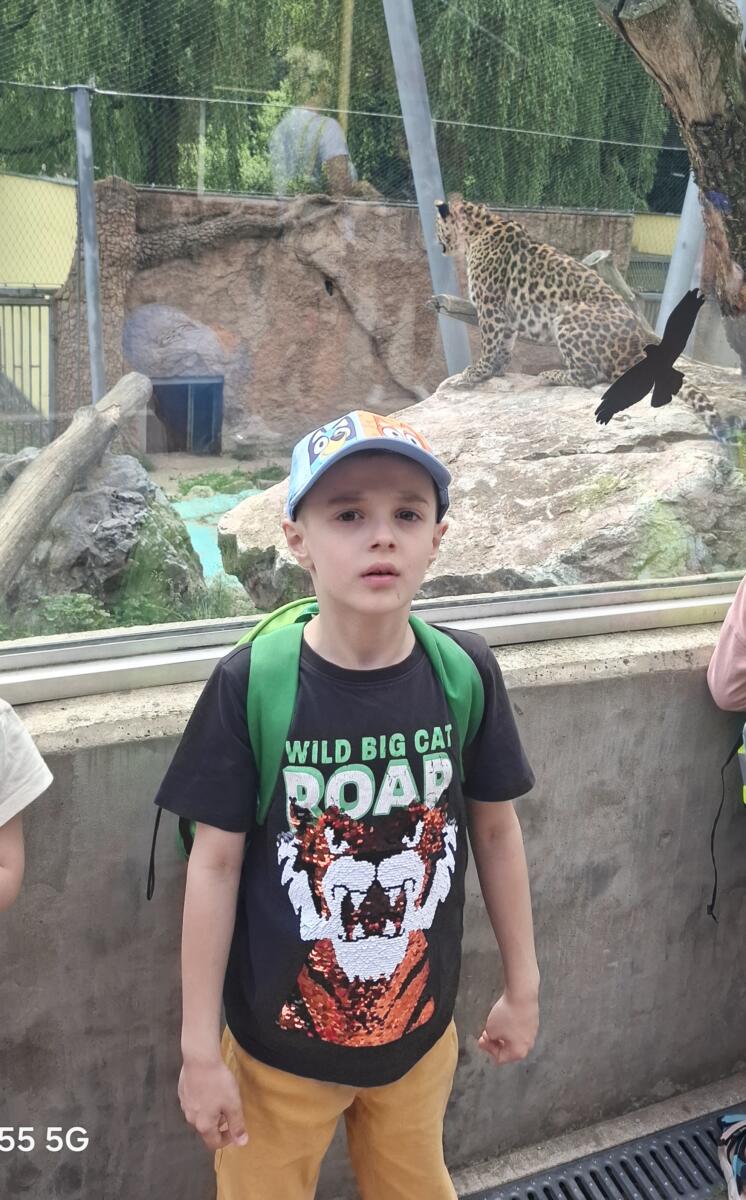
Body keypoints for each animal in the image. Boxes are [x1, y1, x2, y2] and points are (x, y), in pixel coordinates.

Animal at [434, 197, 724, 436]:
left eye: (437, 225)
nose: (439, 246)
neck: (477, 231)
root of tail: (634, 345)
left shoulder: (490, 306)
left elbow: (489, 342)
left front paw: (476, 372)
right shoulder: (505, 314)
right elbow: (504, 344)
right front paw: (496, 369)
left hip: (567, 317)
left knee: (590, 375)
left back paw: (550, 375)